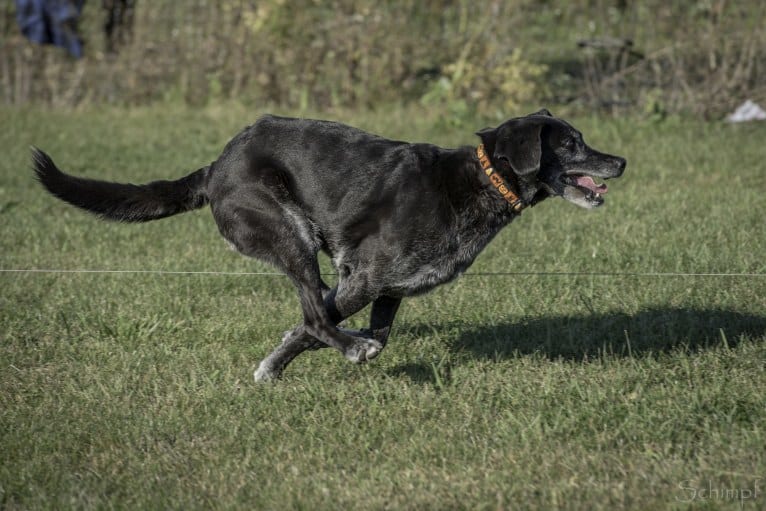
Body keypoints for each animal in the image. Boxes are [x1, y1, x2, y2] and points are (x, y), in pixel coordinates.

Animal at [33, 109, 628, 380]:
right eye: (571, 144)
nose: (621, 161)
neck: (480, 181)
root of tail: (217, 164)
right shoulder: (363, 275)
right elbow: (317, 324)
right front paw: (277, 365)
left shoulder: (391, 287)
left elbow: (373, 329)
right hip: (289, 232)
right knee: (317, 313)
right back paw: (343, 347)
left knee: (316, 305)